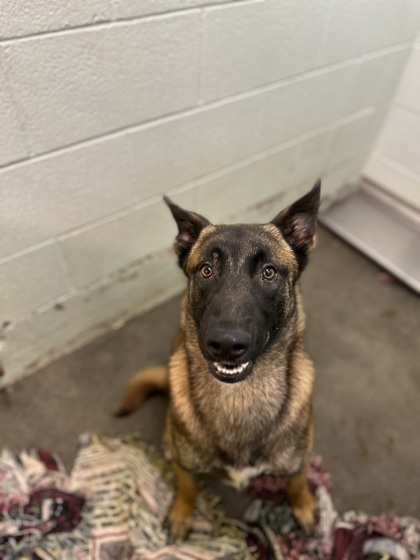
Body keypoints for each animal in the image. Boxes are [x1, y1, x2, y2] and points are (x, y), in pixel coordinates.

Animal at [116, 180, 320, 544]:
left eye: (269, 272)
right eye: (206, 270)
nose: (225, 345)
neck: (239, 397)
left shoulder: (301, 457)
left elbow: (297, 482)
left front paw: (304, 506)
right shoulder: (185, 467)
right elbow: (187, 488)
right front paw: (182, 514)